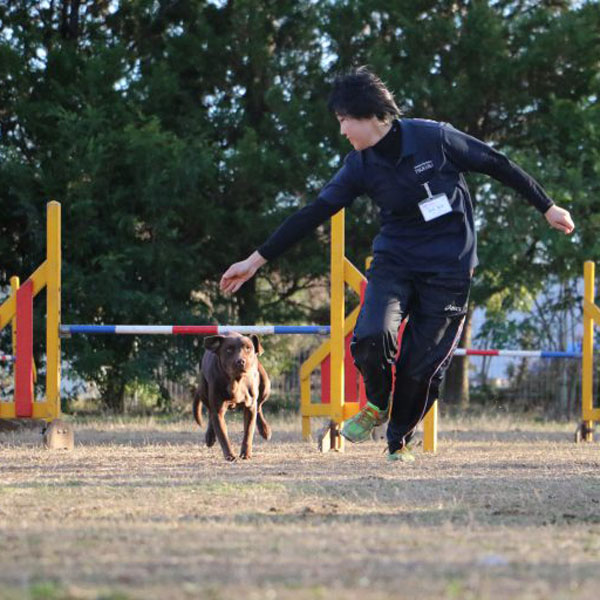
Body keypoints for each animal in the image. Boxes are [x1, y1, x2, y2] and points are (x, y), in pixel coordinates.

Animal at [195, 330, 272, 462]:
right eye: (229, 349)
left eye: (248, 348)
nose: (241, 361)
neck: (236, 381)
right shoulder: (218, 409)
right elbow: (222, 434)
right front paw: (230, 455)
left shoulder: (250, 406)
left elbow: (248, 431)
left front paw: (246, 454)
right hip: (204, 391)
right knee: (210, 413)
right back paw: (210, 437)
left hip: (265, 385)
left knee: (259, 406)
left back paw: (265, 430)